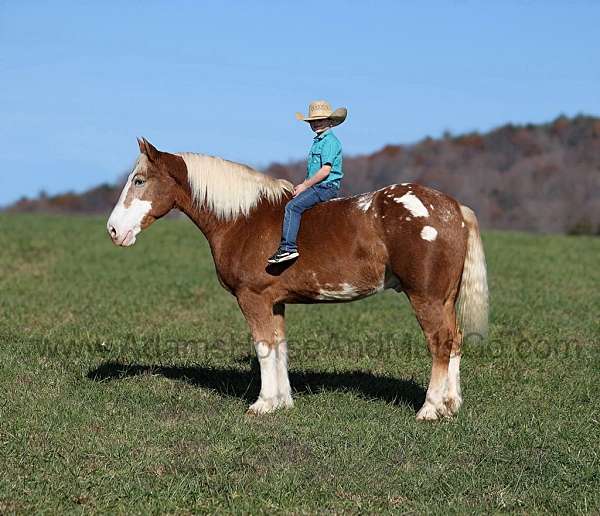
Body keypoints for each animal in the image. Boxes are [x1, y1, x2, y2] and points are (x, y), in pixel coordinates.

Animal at [105, 137, 486, 420]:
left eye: (139, 181)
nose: (112, 230)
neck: (244, 219)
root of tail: (453, 208)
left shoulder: (253, 298)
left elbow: (263, 346)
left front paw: (261, 404)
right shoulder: (274, 302)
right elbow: (278, 346)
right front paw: (281, 402)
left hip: (426, 298)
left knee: (440, 343)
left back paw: (430, 409)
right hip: (445, 299)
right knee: (455, 340)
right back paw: (451, 405)